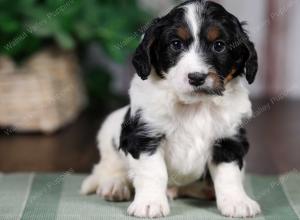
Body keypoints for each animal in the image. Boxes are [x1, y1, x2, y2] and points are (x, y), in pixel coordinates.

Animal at [81, 0, 260, 218]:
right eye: (176, 44)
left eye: (219, 45)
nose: (197, 77)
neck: (194, 106)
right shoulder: (145, 135)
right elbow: (153, 171)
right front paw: (149, 203)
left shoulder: (229, 138)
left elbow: (229, 174)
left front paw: (237, 202)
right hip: (109, 134)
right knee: (106, 168)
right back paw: (115, 186)